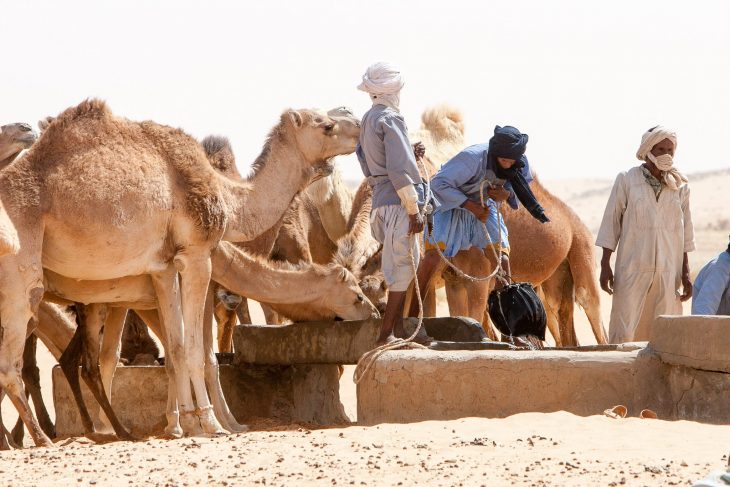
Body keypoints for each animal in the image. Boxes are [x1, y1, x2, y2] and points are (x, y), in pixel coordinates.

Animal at [0, 98, 360, 446]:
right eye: (327, 126)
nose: (357, 124)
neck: (228, 198)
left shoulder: (163, 268)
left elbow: (176, 348)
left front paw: (185, 423)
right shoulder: (198, 256)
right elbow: (197, 350)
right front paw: (212, 423)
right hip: (22, 267)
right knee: (14, 359)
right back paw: (43, 438)